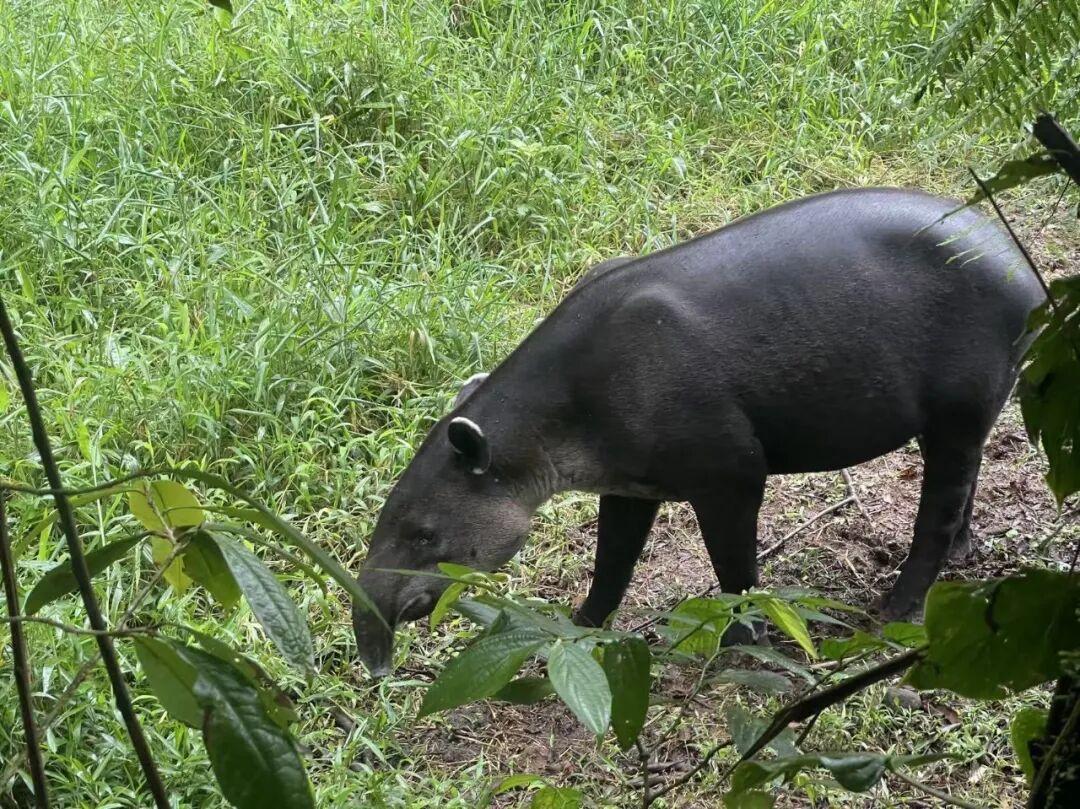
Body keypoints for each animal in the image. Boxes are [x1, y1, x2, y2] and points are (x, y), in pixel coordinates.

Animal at [352, 187, 1045, 677]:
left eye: (424, 534)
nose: (375, 655)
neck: (560, 419)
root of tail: (1029, 273)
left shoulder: (728, 471)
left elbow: (733, 566)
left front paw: (742, 640)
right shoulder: (627, 478)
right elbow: (612, 561)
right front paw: (581, 624)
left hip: (960, 395)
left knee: (942, 496)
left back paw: (896, 608)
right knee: (964, 469)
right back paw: (961, 552)